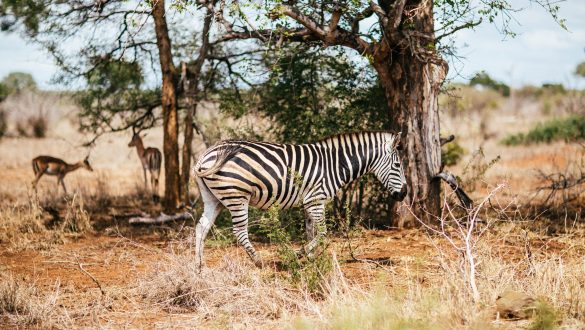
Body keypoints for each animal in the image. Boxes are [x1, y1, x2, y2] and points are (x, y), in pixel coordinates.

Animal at [193, 130, 406, 266]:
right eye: (397, 165)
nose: (404, 193)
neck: (335, 164)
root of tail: (206, 154)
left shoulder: (309, 202)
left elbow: (311, 232)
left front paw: (311, 259)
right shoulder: (316, 200)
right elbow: (323, 233)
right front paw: (298, 254)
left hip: (215, 199)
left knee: (201, 227)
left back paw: (199, 266)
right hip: (237, 196)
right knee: (239, 231)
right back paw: (258, 261)